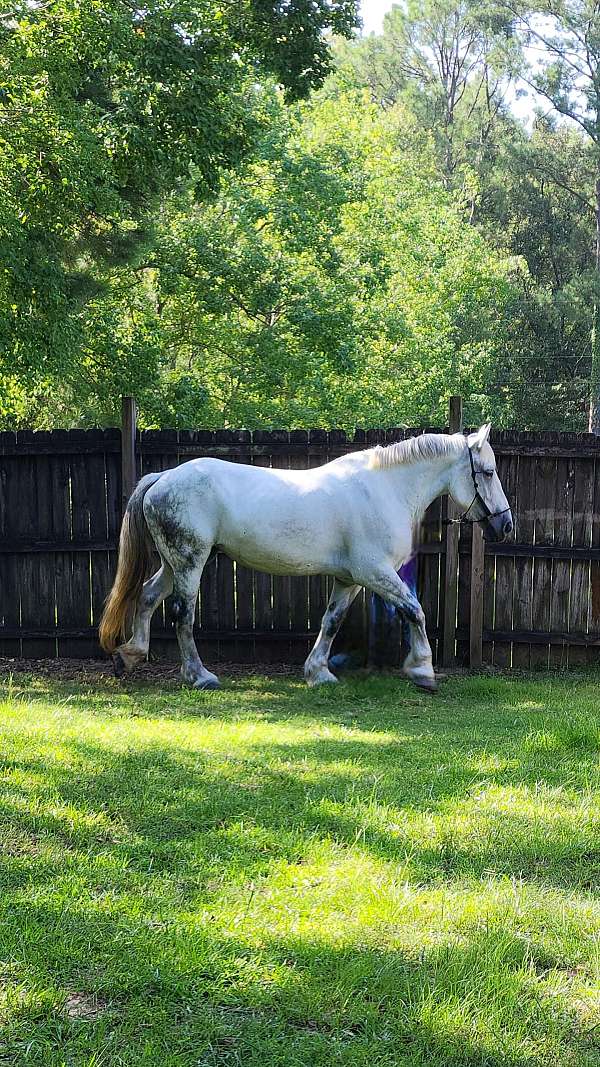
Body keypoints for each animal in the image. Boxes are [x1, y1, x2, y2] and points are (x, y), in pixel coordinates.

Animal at [98, 420, 508, 687]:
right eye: (487, 472)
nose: (505, 525)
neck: (384, 489)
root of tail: (162, 479)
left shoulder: (348, 579)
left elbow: (332, 621)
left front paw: (319, 672)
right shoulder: (374, 572)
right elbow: (414, 610)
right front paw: (423, 670)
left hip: (175, 562)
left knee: (148, 597)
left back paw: (129, 655)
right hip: (189, 561)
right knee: (182, 614)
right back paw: (199, 676)